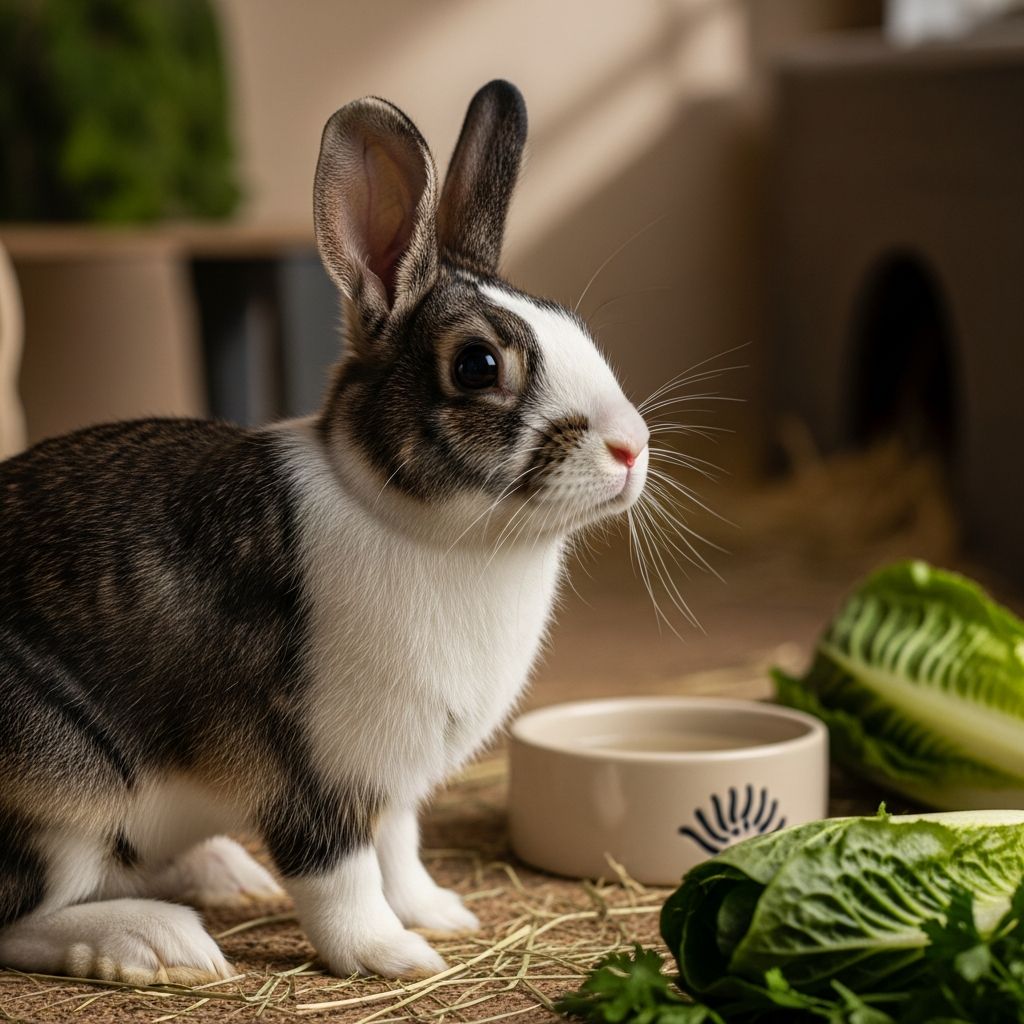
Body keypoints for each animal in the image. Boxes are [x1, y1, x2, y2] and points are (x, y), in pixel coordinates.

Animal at [0, 80, 650, 984]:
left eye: (576, 328)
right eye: (478, 365)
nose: (632, 446)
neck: (412, 521)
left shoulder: (393, 780)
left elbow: (399, 849)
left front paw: (440, 914)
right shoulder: (307, 766)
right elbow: (339, 876)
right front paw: (395, 955)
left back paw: (221, 876)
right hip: (58, 787)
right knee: (19, 912)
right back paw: (156, 941)